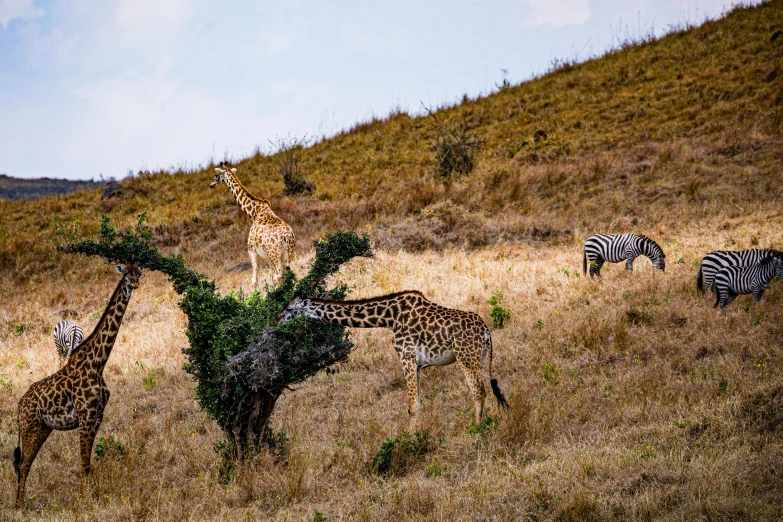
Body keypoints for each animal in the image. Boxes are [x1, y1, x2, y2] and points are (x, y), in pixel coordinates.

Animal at [13, 262, 142, 506]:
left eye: (139, 273)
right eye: (126, 275)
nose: (135, 284)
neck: (98, 362)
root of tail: (19, 406)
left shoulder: (98, 416)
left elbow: (88, 463)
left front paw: (88, 496)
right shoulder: (85, 416)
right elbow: (83, 463)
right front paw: (85, 501)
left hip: (43, 428)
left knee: (24, 464)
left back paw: (19, 504)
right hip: (30, 427)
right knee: (22, 465)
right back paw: (20, 507)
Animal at [278, 288, 512, 426]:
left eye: (289, 308)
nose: (277, 319)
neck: (389, 318)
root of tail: (486, 331)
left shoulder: (406, 357)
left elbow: (412, 405)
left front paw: (410, 441)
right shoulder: (417, 365)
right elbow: (417, 403)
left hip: (466, 358)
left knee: (478, 391)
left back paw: (476, 429)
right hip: (480, 358)